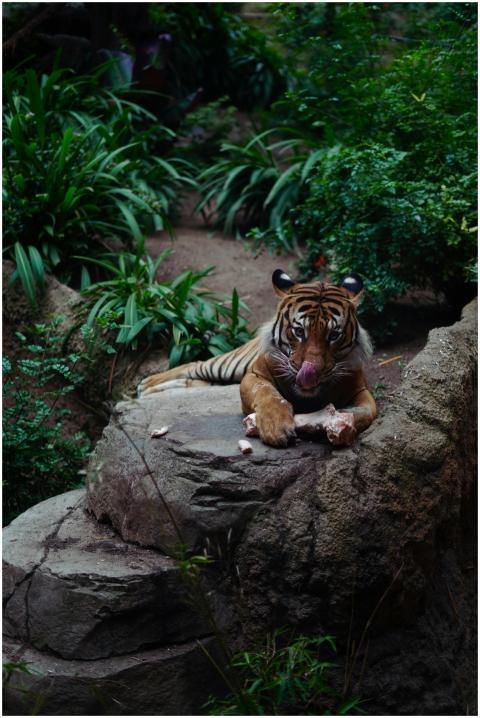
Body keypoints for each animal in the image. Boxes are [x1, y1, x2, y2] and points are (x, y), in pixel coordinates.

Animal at [138, 269, 377, 447]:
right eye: (299, 331)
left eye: (334, 335)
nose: (311, 372)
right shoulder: (253, 375)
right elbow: (266, 394)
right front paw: (276, 427)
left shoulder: (361, 391)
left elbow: (366, 413)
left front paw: (342, 429)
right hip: (229, 365)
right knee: (195, 364)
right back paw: (146, 384)